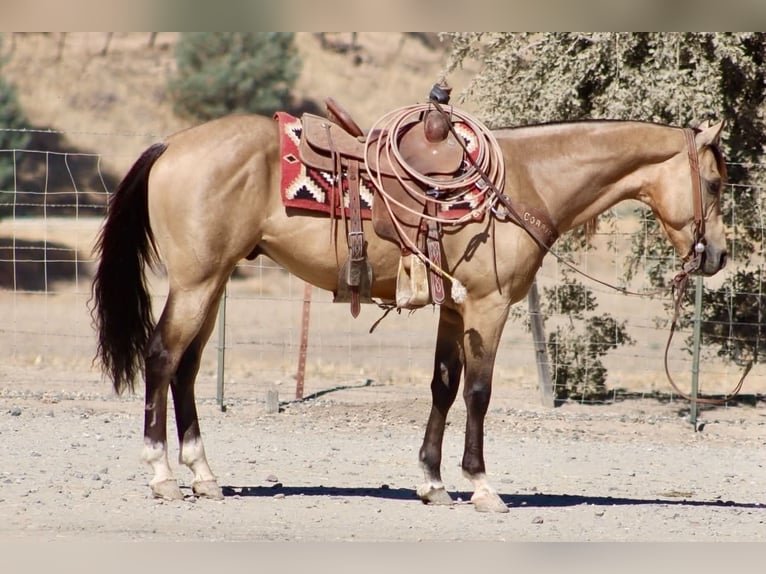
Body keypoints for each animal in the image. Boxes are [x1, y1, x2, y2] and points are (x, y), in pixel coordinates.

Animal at [90, 110, 727, 513]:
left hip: (214, 282)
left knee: (187, 369)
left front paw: (432, 483)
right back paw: (163, 475)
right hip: (196, 283)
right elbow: (478, 393)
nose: (718, 255)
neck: (525, 180)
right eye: (718, 183)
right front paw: (481, 486)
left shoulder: (455, 309)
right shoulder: (489, 307)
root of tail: (171, 145)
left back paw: (204, 476)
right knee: (162, 357)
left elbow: (443, 387)